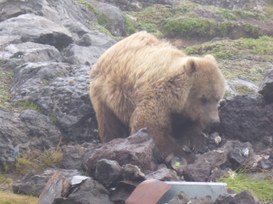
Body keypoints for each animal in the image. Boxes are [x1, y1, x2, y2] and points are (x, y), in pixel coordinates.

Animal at [88, 30, 224, 161]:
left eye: (217, 98)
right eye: (203, 98)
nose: (215, 121)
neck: (176, 99)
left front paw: (198, 141)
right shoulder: (158, 97)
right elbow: (149, 125)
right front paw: (181, 155)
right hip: (105, 92)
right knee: (108, 121)